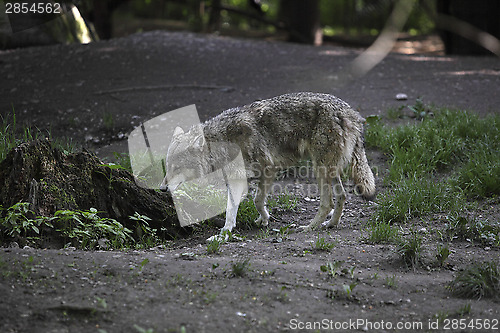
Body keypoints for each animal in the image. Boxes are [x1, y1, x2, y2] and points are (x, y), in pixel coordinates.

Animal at [161, 92, 376, 235]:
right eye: (167, 166)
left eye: (177, 168)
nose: (162, 189)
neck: (225, 140)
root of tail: (351, 112)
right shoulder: (237, 180)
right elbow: (232, 209)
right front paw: (224, 233)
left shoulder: (268, 170)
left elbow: (257, 200)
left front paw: (263, 219)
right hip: (330, 169)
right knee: (342, 196)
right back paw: (331, 224)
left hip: (320, 169)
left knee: (328, 202)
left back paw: (310, 227)